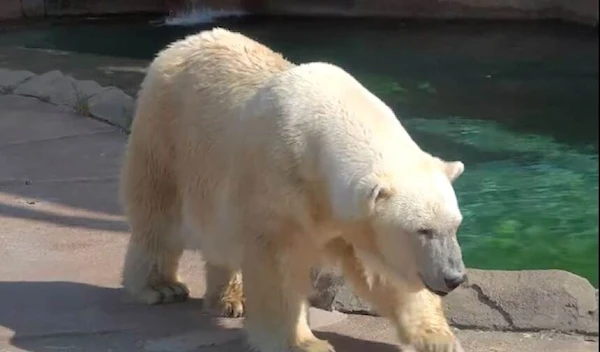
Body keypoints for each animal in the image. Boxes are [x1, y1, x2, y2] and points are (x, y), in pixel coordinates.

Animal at [119, 28, 468, 352]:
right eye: (422, 230)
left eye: (455, 226)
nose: (454, 277)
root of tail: (185, 41)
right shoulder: (279, 184)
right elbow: (278, 267)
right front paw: (304, 343)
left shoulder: (350, 217)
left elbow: (384, 271)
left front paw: (439, 339)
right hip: (166, 135)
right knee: (159, 214)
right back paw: (161, 287)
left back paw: (231, 298)